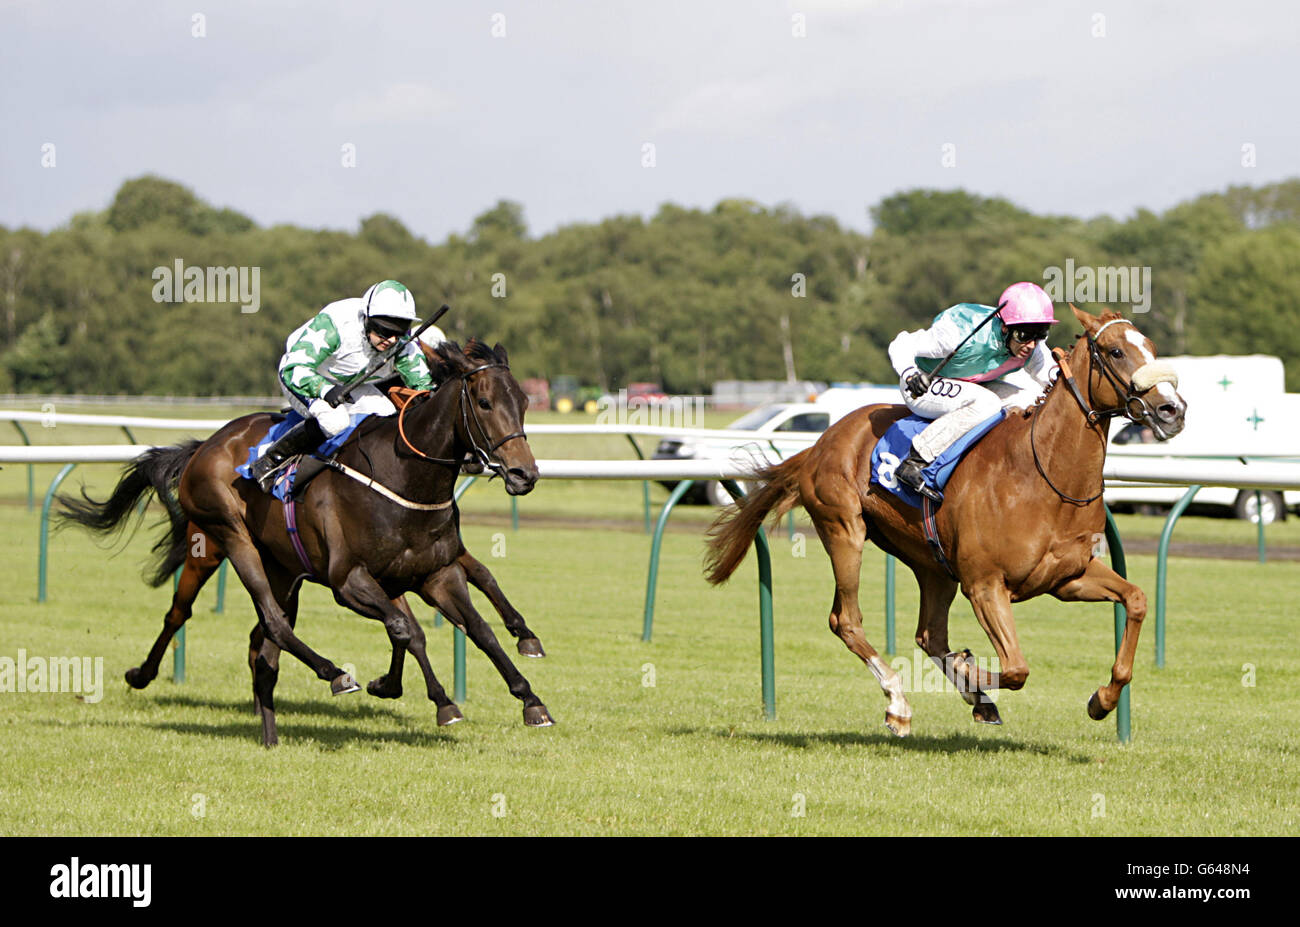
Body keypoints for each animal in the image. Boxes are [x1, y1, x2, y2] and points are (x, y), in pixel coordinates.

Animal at [61, 340, 553, 743]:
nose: (523, 474)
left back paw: (268, 722)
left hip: (283, 569)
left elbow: (477, 627)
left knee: (265, 637)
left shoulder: (434, 573)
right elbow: (406, 629)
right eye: (485, 402)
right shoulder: (348, 580)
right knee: (218, 617)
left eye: (525, 401)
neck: (403, 478)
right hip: (224, 538)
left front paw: (530, 698)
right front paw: (441, 701)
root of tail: (207, 444)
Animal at [707, 306, 1185, 733]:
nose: (1173, 410)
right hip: (844, 530)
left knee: (929, 635)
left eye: (1151, 347)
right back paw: (899, 703)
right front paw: (970, 670)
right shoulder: (985, 585)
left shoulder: (1068, 577)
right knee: (846, 620)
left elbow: (1136, 599)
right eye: (1116, 351)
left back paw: (974, 699)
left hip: (930, 563)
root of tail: (820, 443)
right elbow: (1016, 668)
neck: (1041, 477)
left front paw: (1102, 699)